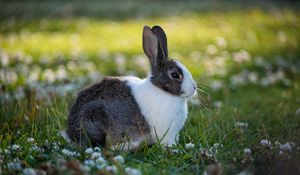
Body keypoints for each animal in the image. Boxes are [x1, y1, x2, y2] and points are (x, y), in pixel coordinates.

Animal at [67, 25, 198, 149]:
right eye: (175, 75)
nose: (194, 87)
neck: (161, 90)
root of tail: (70, 134)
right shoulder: (165, 134)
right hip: (94, 117)